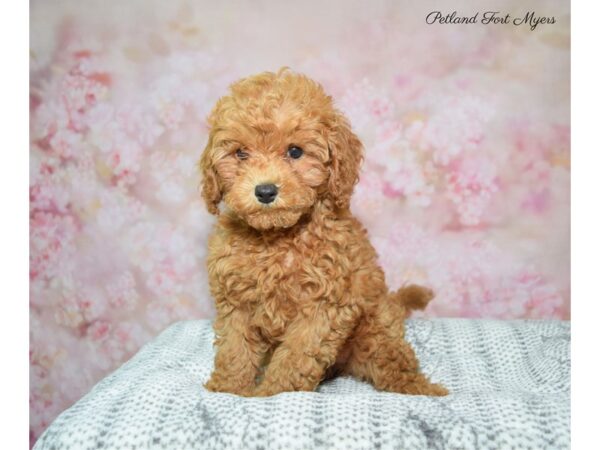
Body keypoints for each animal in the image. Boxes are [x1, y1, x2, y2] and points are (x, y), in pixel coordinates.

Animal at [199, 67, 448, 398]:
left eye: (295, 151)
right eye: (240, 154)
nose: (265, 191)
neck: (276, 238)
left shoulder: (323, 304)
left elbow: (295, 356)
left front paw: (272, 392)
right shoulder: (235, 300)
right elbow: (234, 348)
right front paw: (227, 389)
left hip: (375, 328)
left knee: (394, 361)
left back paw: (421, 388)